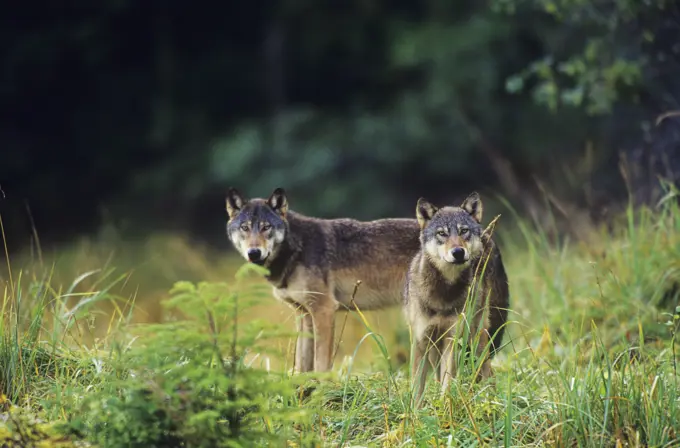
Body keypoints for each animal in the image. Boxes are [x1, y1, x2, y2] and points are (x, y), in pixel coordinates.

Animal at [226, 187, 422, 372]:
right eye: (245, 228)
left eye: (266, 227)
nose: (254, 253)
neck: (297, 249)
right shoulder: (304, 313)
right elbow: (302, 365)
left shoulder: (324, 309)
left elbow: (321, 364)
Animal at [402, 192, 508, 406]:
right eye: (442, 233)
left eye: (464, 231)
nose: (458, 252)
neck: (442, 295)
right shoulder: (420, 341)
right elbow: (417, 387)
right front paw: (415, 412)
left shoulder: (451, 338)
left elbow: (448, 379)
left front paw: (444, 406)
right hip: (435, 348)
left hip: (477, 336)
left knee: (487, 371)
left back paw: (492, 401)